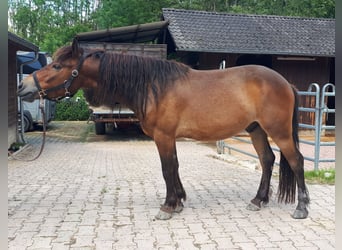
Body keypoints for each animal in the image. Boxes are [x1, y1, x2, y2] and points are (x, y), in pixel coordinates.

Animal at [16, 39, 310, 219]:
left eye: (56, 65)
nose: (23, 86)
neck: (153, 86)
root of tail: (285, 82)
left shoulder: (163, 136)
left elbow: (167, 168)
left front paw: (168, 207)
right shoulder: (169, 138)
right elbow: (175, 167)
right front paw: (178, 201)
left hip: (279, 132)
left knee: (296, 161)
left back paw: (301, 208)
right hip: (256, 129)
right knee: (267, 160)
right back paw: (258, 200)